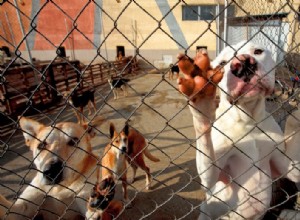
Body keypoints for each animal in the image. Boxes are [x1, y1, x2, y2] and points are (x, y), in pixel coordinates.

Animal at [177, 40, 300, 219]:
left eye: (258, 51)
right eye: (222, 64)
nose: (243, 63)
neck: (248, 120)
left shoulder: (288, 168)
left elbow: (293, 120)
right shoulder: (211, 179)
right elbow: (208, 171)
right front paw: (201, 97)